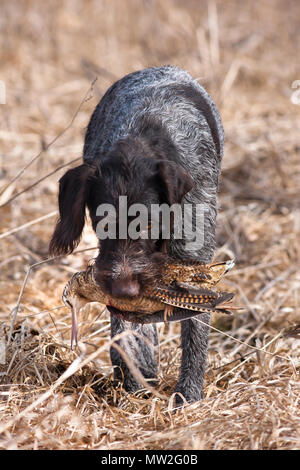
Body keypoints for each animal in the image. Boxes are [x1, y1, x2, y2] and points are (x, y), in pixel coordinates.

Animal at [49, 66, 224, 404]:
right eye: (103, 224)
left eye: (148, 224)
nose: (125, 289)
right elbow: (126, 330)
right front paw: (135, 376)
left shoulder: (195, 265)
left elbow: (195, 334)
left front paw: (188, 395)